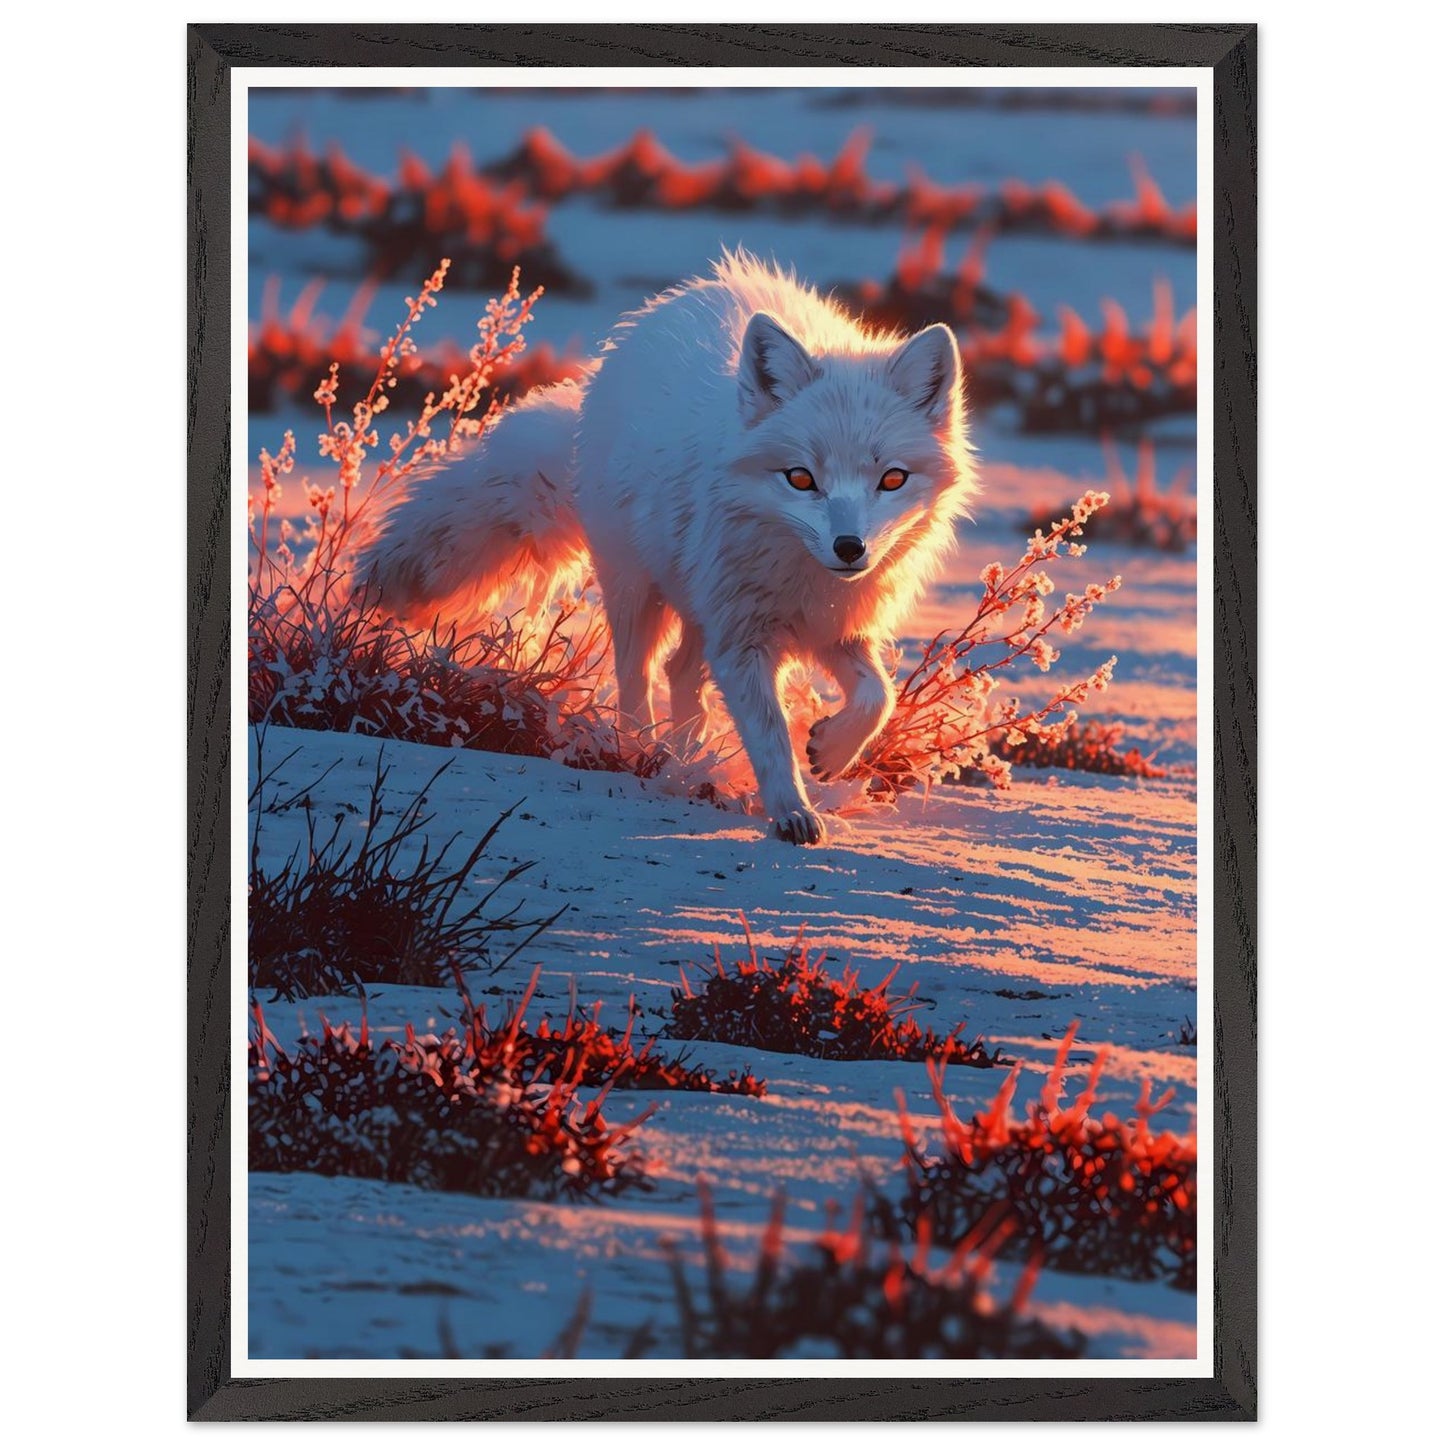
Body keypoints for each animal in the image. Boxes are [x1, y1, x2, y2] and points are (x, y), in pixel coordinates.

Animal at [358, 252, 977, 844]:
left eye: (892, 479)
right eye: (801, 478)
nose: (850, 548)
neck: (801, 575)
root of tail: (661, 312)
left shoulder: (833, 625)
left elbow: (879, 696)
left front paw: (831, 749)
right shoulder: (743, 639)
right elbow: (771, 736)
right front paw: (791, 813)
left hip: (699, 605)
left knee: (681, 674)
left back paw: (691, 760)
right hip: (639, 592)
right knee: (637, 677)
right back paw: (642, 753)